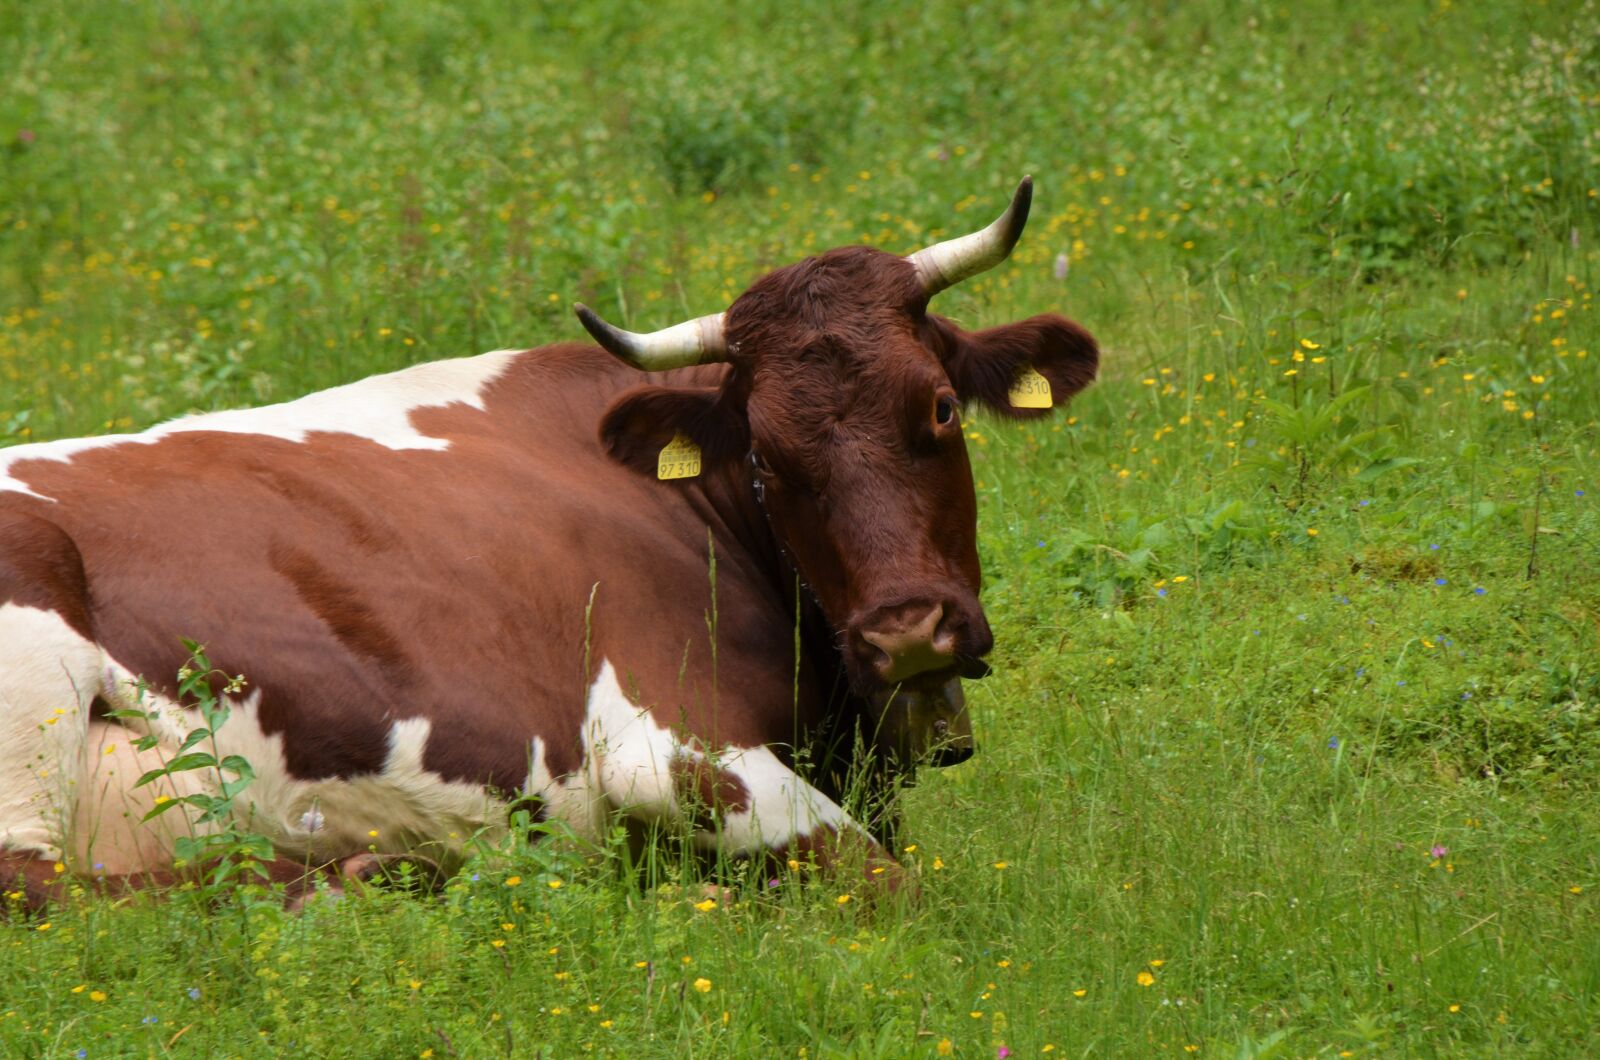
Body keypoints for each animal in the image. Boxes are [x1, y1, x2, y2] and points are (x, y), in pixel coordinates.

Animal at [0, 178, 1097, 909]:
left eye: (942, 407)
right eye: (768, 457)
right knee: (53, 892)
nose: (907, 632)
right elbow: (892, 882)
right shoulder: (660, 744)